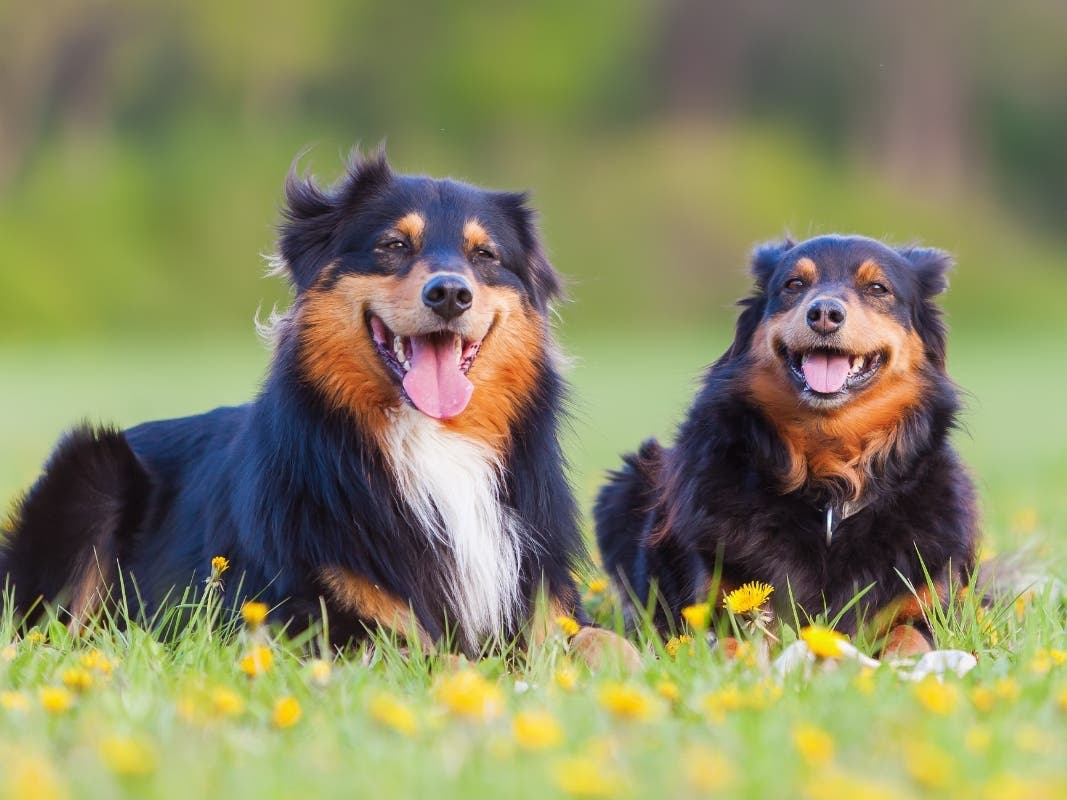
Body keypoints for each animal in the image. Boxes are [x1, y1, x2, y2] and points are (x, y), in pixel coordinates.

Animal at [0, 153, 631, 665]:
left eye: (485, 256)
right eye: (394, 246)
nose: (451, 294)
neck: (433, 441)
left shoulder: (543, 599)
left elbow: (607, 643)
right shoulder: (318, 621)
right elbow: (442, 657)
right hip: (92, 468)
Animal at [597, 233, 977, 657]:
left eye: (878, 288)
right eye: (794, 284)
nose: (824, 312)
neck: (830, 491)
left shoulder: (925, 606)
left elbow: (909, 637)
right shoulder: (722, 605)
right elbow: (733, 646)